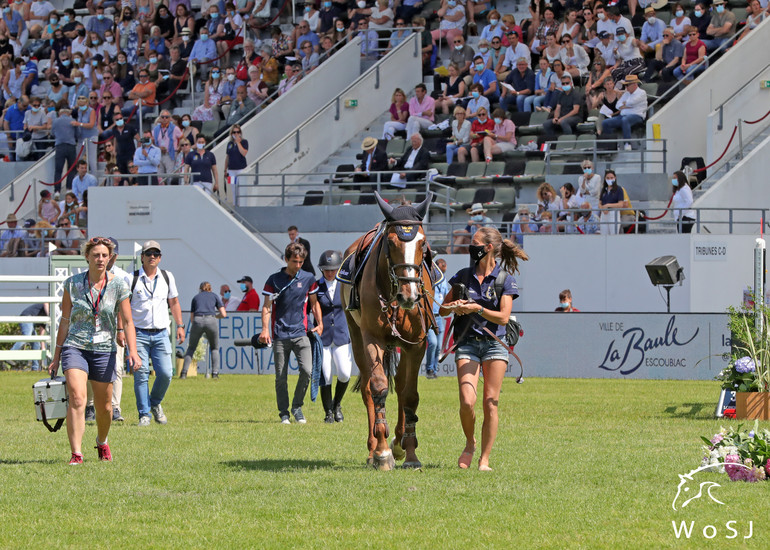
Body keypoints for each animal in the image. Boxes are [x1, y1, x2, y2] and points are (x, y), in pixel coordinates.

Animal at [340, 193, 436, 470]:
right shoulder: (373, 339)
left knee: (402, 384)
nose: (409, 294)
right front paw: (382, 453)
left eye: (423, 243)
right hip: (356, 336)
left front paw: (410, 453)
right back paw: (374, 449)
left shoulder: (416, 344)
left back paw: (400, 443)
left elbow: (410, 394)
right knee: (367, 389)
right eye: (391, 242)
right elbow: (379, 388)